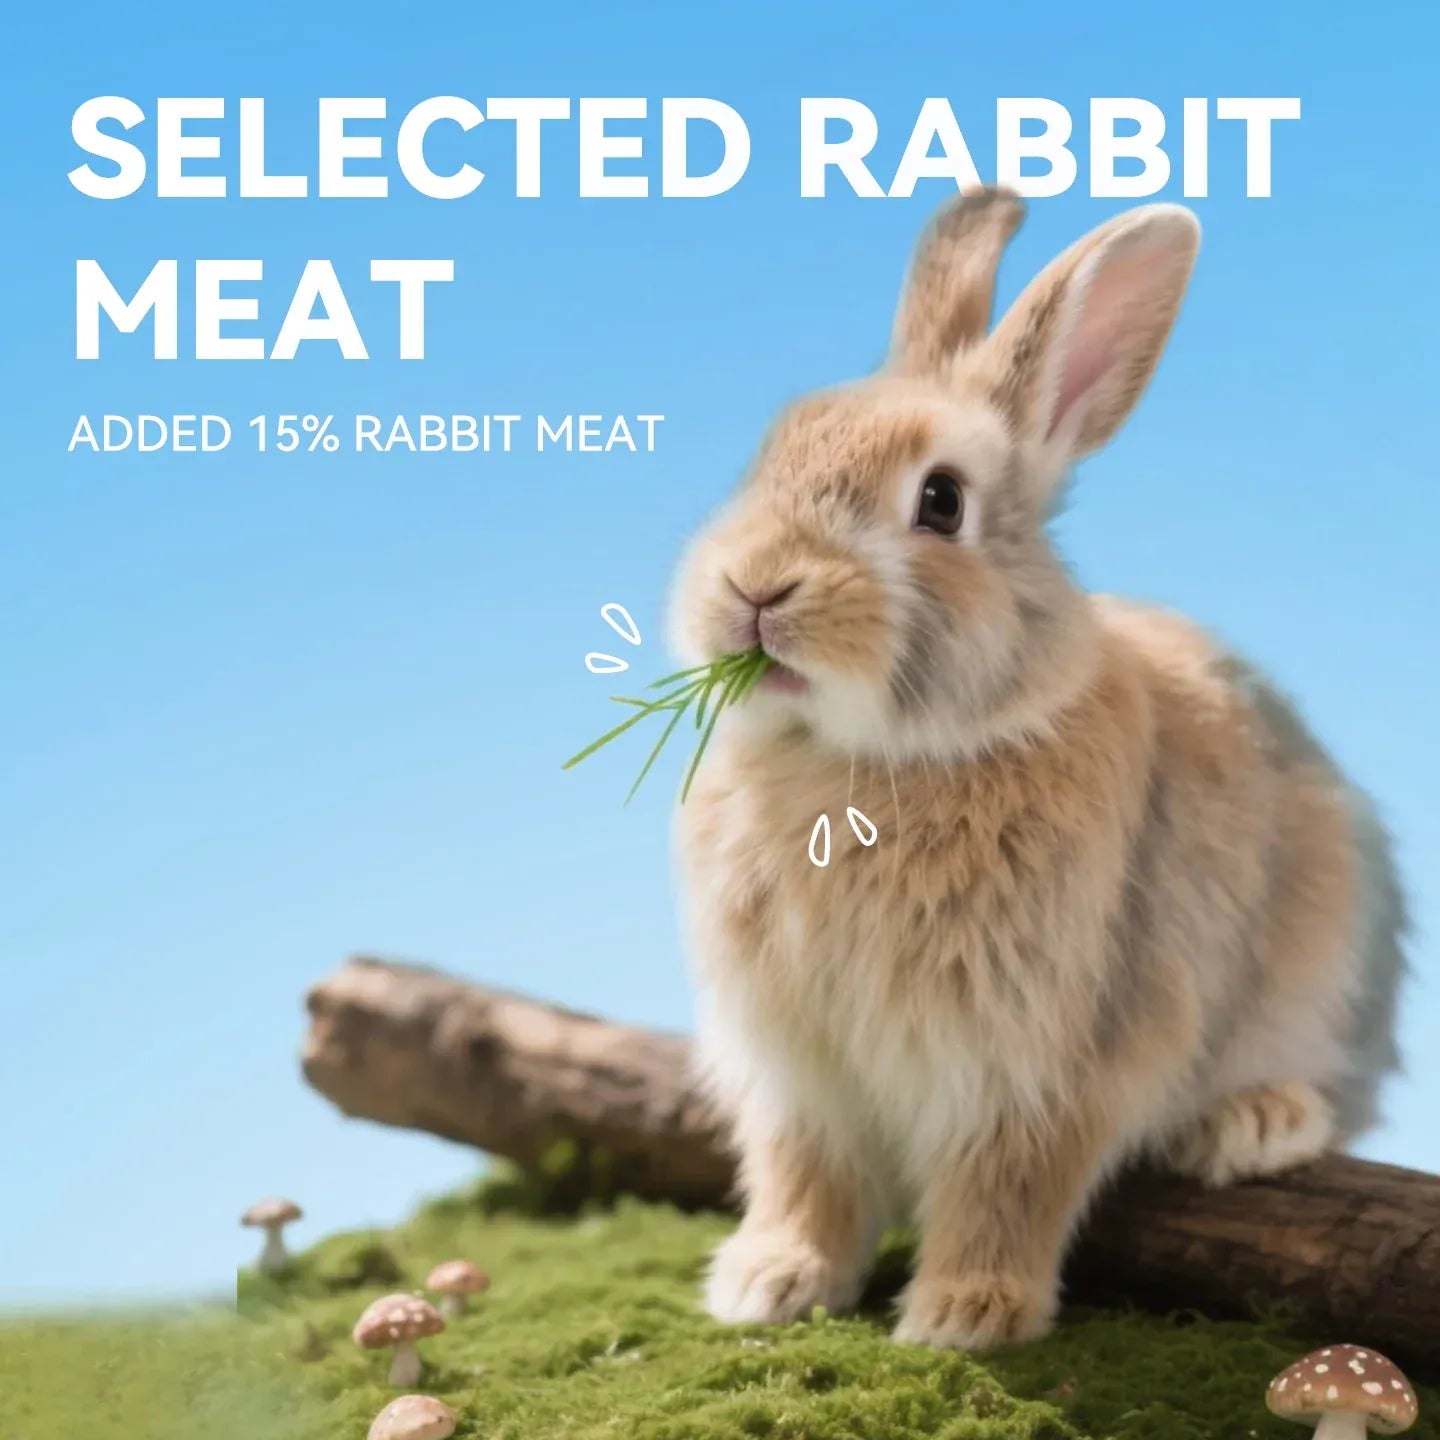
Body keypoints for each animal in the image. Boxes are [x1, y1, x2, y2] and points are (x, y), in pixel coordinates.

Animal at [669, 189, 1406, 1351]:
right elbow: (806, 1179)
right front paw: (768, 1283)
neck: (867, 761)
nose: (754, 587)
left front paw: (967, 1313)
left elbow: (1008, 1184)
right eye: (771, 449)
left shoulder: (1046, 1057)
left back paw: (1254, 1122)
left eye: (940, 501)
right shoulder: (799, 1074)